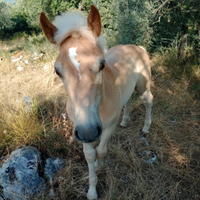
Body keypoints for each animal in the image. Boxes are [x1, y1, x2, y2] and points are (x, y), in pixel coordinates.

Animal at [40, 5, 153, 200]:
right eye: (57, 71)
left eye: (102, 64)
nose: (90, 131)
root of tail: (137, 47)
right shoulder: (80, 128)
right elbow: (90, 155)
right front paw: (92, 190)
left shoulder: (107, 127)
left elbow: (101, 150)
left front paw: (100, 166)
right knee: (128, 101)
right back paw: (125, 121)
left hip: (142, 86)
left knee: (149, 101)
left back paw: (146, 127)